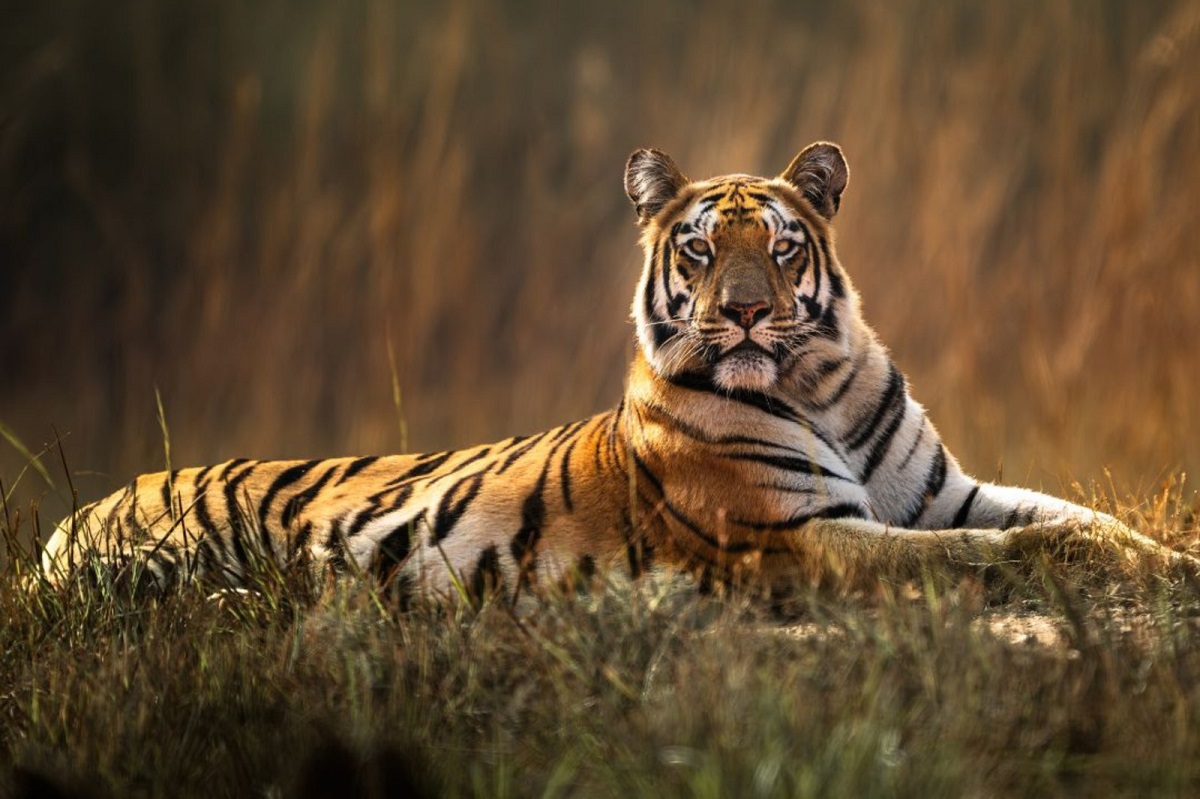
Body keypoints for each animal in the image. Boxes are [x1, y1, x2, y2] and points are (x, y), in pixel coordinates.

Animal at [40, 141, 1194, 600]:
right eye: (700, 249)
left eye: (781, 247)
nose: (744, 311)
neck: (816, 384)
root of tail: (80, 509)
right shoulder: (801, 538)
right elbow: (1003, 552)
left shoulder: (946, 493)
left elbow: (1081, 518)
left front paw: (1172, 563)